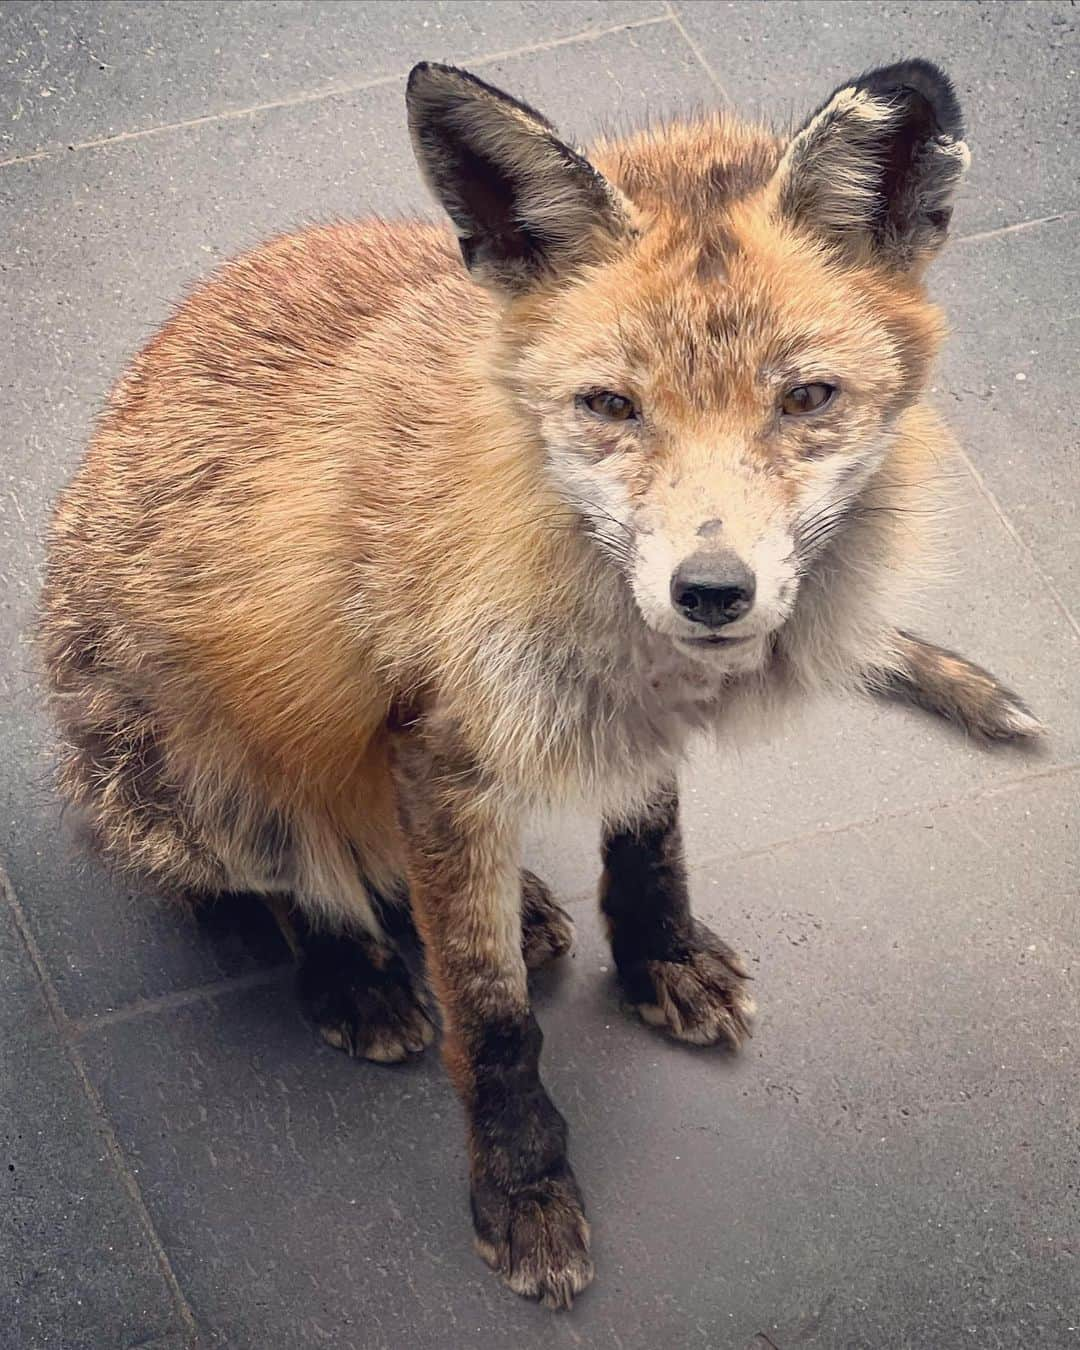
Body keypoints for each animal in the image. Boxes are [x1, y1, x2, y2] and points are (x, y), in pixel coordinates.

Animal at [37, 55, 1042, 1306]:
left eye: (806, 399)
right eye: (610, 406)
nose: (713, 592)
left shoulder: (621, 729)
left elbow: (649, 843)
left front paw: (659, 955)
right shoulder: (436, 744)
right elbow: (493, 1019)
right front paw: (523, 1191)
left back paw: (511, 901)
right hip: (193, 768)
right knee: (294, 867)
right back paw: (351, 966)